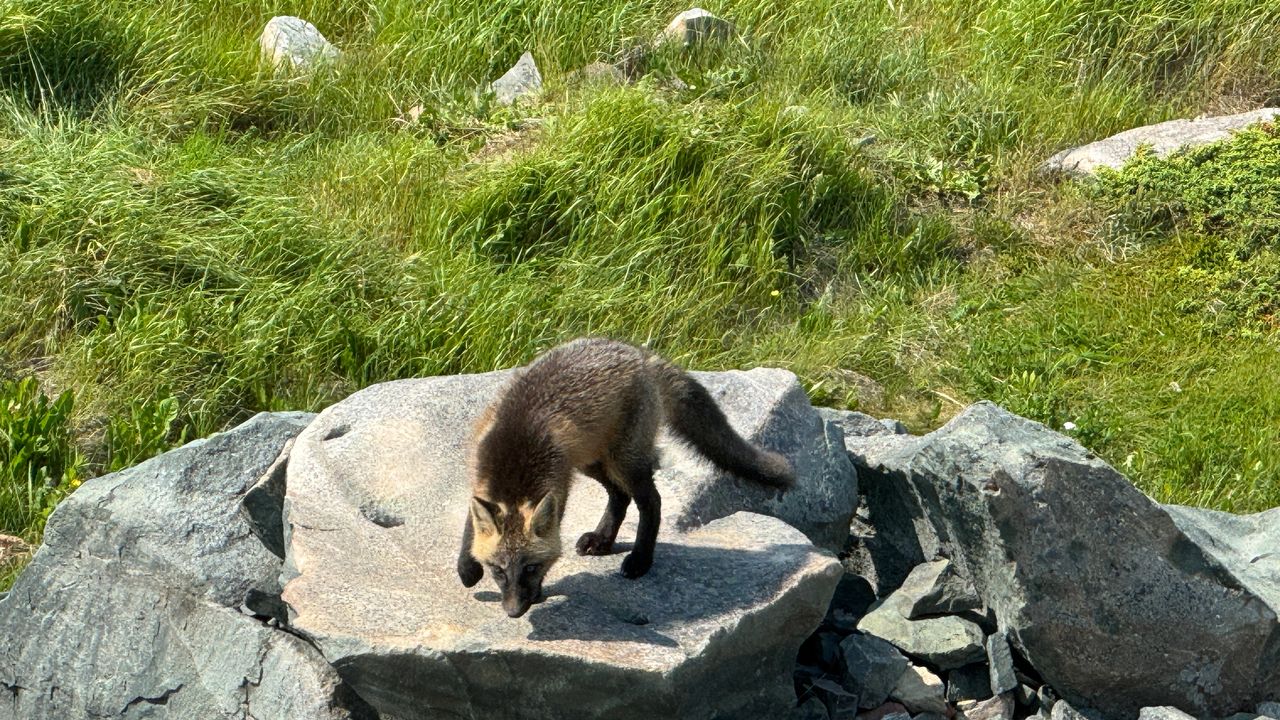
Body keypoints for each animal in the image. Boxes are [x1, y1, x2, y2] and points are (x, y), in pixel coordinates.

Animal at [456, 337, 795, 618]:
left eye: (530, 568)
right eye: (498, 570)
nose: (513, 612)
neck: (514, 462)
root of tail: (639, 353)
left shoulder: (559, 486)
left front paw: (538, 592)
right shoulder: (479, 476)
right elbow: (470, 529)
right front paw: (467, 571)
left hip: (623, 462)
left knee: (650, 501)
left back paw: (640, 560)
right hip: (593, 461)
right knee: (619, 496)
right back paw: (603, 540)